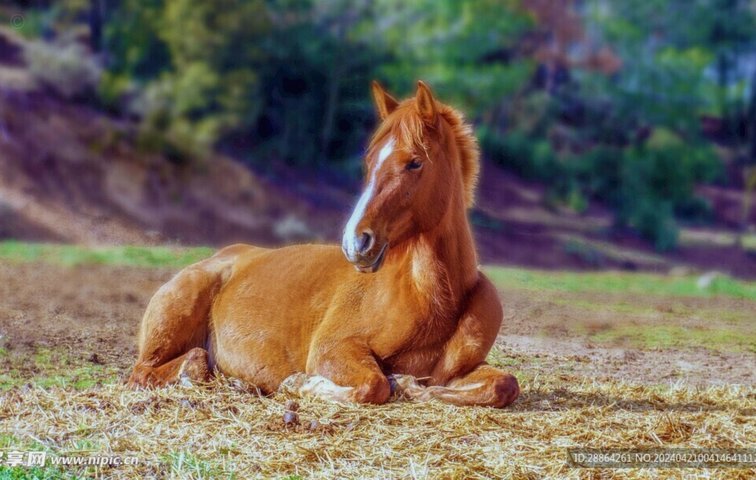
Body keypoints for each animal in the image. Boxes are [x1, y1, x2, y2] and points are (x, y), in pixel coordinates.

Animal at [128, 81, 519, 408]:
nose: (356, 241)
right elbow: (374, 386)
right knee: (154, 370)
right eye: (370, 160)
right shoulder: (334, 350)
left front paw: (410, 384)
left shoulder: (462, 370)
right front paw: (301, 384)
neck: (431, 298)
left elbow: (504, 384)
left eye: (415, 162)